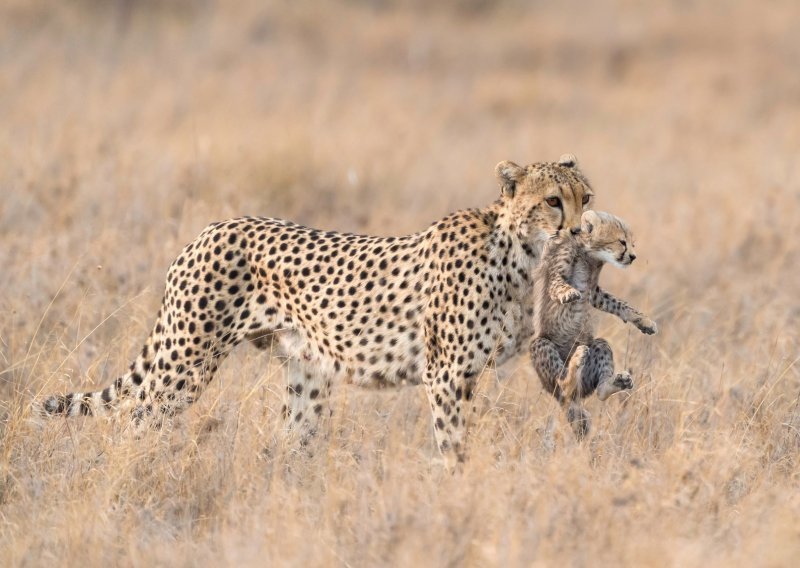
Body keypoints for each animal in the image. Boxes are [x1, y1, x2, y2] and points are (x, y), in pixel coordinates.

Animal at [40, 153, 596, 468]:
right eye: (552, 201)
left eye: (586, 197)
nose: (579, 231)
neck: (521, 252)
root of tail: (211, 228)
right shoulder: (446, 374)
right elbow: (454, 444)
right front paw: (461, 490)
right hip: (185, 362)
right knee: (137, 421)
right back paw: (131, 473)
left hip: (307, 375)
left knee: (288, 441)